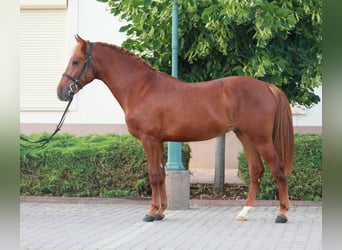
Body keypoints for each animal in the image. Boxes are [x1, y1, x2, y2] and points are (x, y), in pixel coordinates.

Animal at [56, 34, 294, 223]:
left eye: (75, 61)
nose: (61, 92)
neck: (141, 88)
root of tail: (268, 87)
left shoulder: (149, 139)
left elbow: (153, 175)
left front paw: (151, 212)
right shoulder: (159, 141)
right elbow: (161, 174)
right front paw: (161, 211)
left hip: (261, 139)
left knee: (277, 169)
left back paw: (282, 214)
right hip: (245, 136)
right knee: (256, 171)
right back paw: (244, 212)